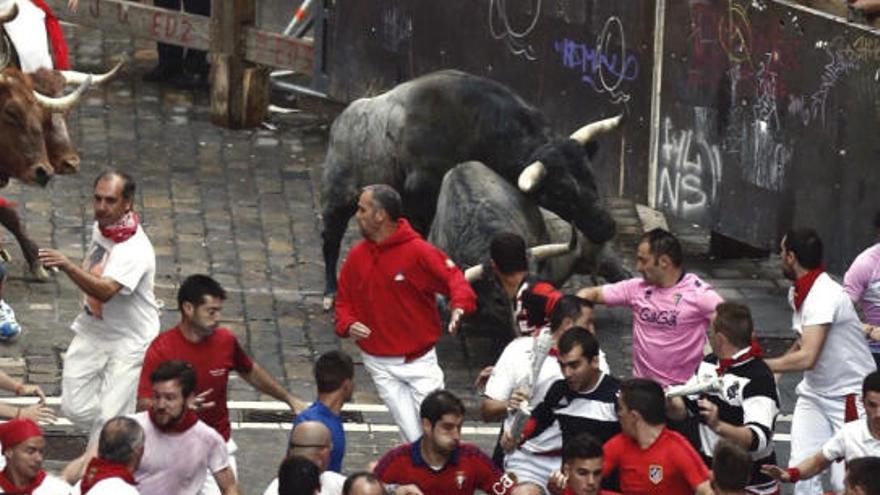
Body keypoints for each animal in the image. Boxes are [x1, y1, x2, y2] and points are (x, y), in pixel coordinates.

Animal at [322, 69, 620, 306]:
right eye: (559, 193)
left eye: (590, 175)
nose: (606, 227)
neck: (479, 129)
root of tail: (341, 121)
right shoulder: (421, 203)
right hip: (337, 200)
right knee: (330, 239)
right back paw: (330, 293)